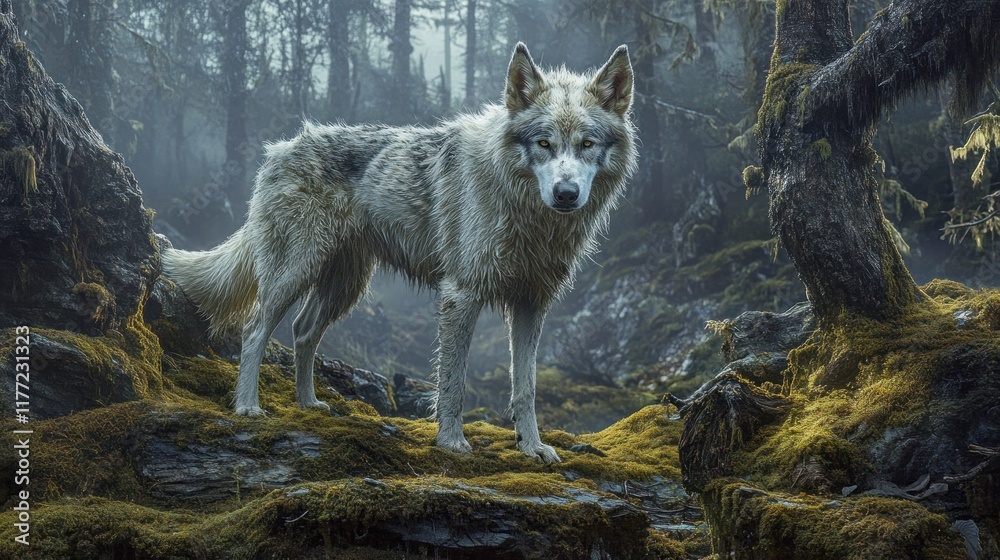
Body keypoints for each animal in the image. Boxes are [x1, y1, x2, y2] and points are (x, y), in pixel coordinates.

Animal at [162, 43, 637, 463]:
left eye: (587, 144)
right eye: (544, 144)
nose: (566, 194)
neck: (530, 216)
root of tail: (279, 150)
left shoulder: (531, 304)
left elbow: (526, 387)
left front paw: (532, 447)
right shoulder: (461, 296)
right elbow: (453, 382)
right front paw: (451, 442)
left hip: (344, 286)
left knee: (302, 330)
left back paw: (308, 404)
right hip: (294, 273)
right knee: (255, 328)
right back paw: (247, 406)